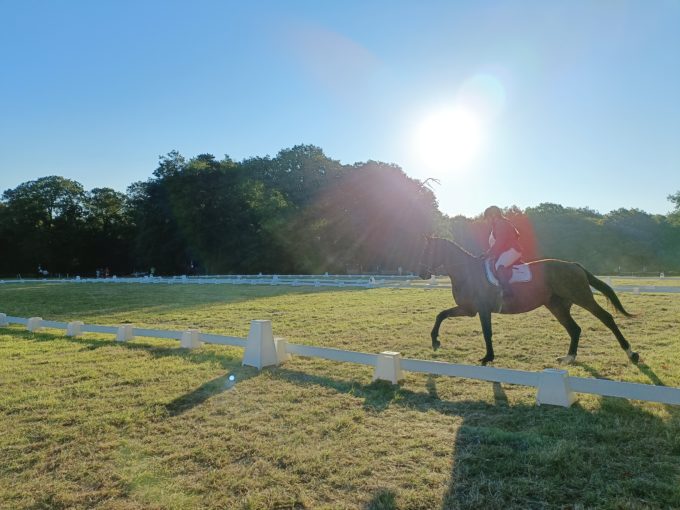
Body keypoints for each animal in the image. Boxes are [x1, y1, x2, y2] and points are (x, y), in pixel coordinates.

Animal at [418, 237, 640, 364]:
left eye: (430, 250)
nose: (422, 273)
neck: (467, 272)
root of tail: (574, 265)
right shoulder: (468, 309)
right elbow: (441, 315)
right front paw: (435, 341)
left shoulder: (482, 310)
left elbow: (487, 333)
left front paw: (488, 357)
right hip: (557, 305)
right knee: (575, 329)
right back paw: (568, 358)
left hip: (582, 297)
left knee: (606, 318)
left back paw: (631, 353)